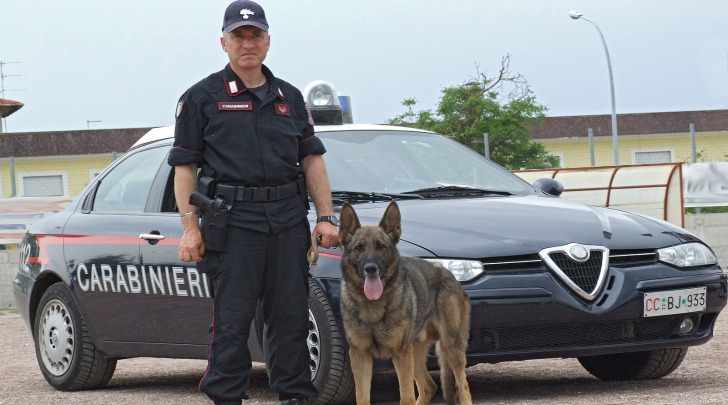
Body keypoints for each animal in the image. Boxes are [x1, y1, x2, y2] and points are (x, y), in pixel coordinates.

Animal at [340, 200, 474, 402]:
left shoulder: (401, 354)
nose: (371, 268)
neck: (373, 307)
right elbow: (362, 397)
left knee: (463, 387)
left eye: (381, 246)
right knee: (429, 387)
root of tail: (448, 274)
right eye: (359, 248)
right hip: (415, 353)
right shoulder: (360, 356)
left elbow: (406, 397)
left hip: (451, 348)